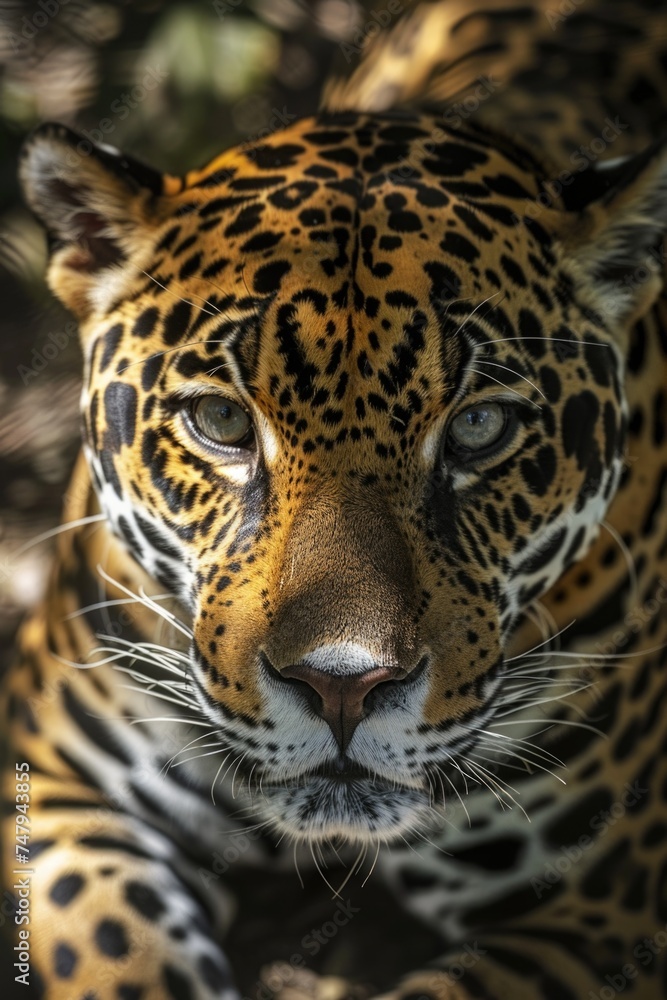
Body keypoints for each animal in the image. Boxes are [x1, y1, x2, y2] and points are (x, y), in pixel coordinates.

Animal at [3, 1, 667, 998]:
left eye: (478, 428)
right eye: (220, 421)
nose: (342, 687)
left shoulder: (600, 910)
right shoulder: (59, 787)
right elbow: (122, 958)